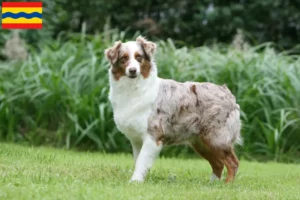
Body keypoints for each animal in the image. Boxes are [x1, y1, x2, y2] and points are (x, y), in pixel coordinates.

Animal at [104, 36, 243, 183]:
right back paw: (212, 184)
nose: (132, 70)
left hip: (216, 138)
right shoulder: (136, 140)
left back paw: (226, 185)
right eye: (124, 58)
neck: (133, 88)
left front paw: (135, 182)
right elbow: (138, 161)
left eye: (139, 57)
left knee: (232, 163)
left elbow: (142, 161)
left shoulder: (153, 136)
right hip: (201, 142)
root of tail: (227, 92)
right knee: (218, 163)